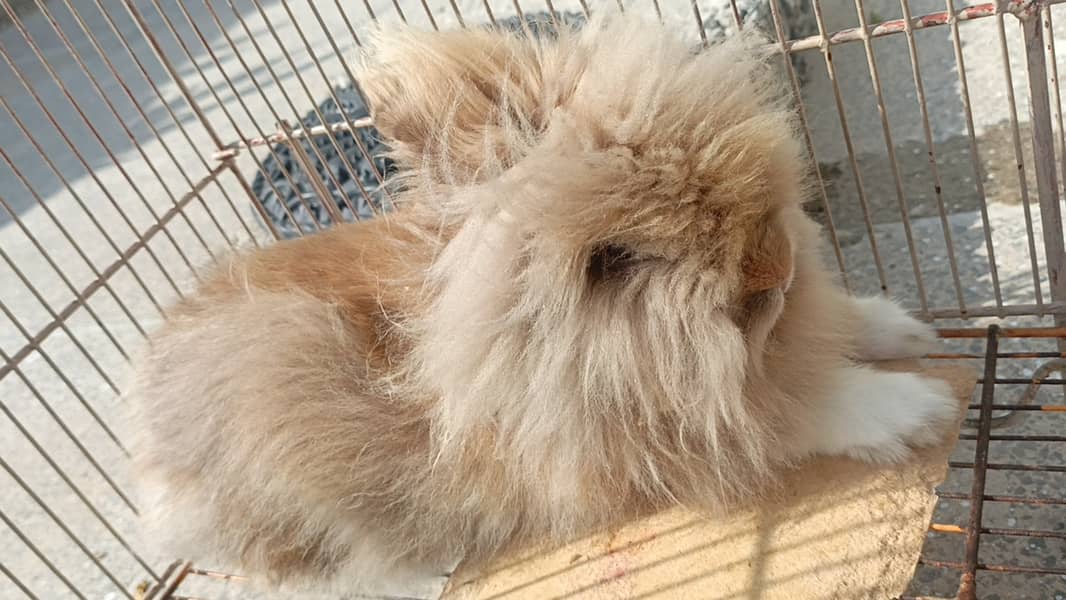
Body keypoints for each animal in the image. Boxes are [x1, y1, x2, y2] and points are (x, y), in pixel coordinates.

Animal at [127, 16, 958, 594]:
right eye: (610, 261)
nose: (775, 271)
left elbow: (838, 329)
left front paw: (903, 325)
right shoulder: (644, 452)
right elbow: (789, 415)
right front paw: (914, 408)